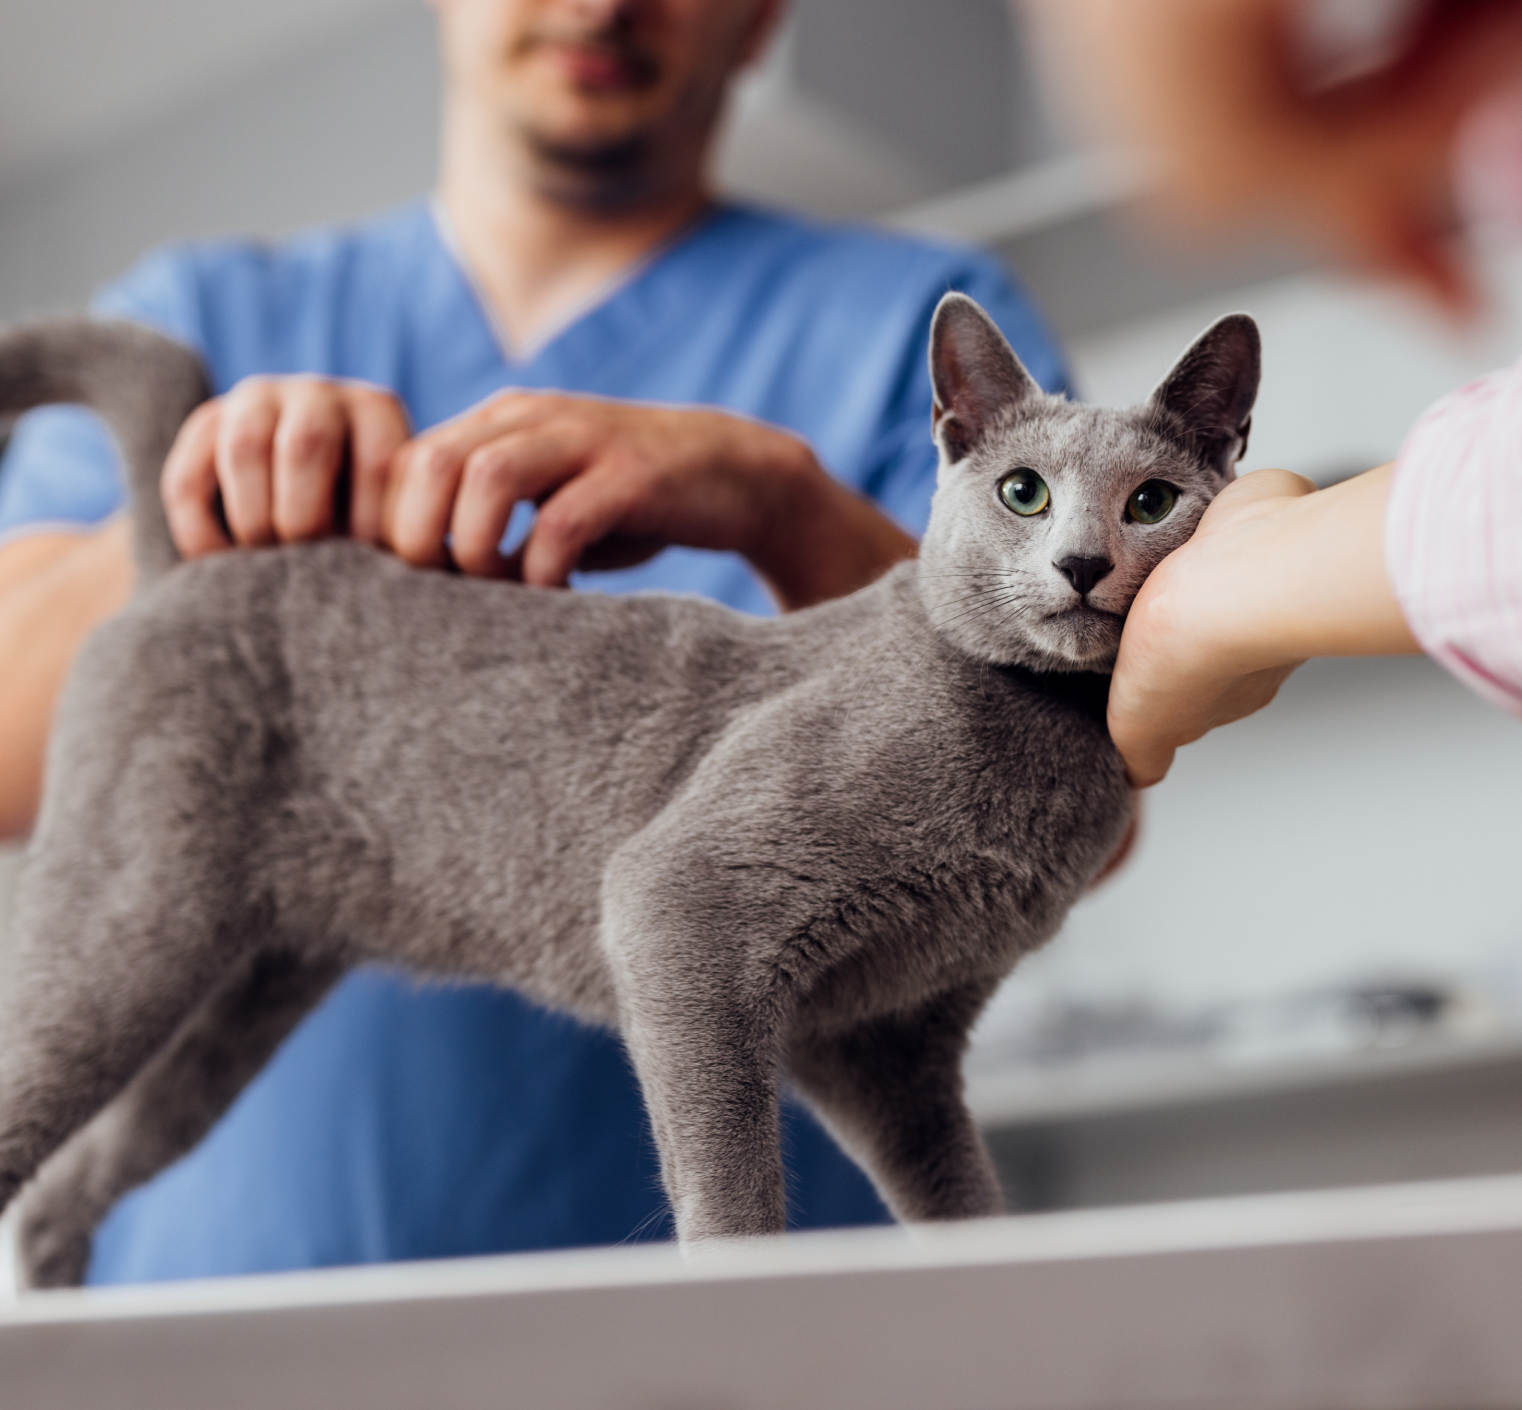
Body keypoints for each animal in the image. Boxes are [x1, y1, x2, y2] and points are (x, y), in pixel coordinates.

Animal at [0, 298, 1254, 1291]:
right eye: (1022, 493)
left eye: (1151, 503)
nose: (1082, 564)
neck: (1041, 743)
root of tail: (185, 562)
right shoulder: (685, 901)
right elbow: (726, 1163)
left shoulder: (888, 1041)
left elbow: (956, 1194)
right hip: (136, 916)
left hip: (239, 991)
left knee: (81, 1173)